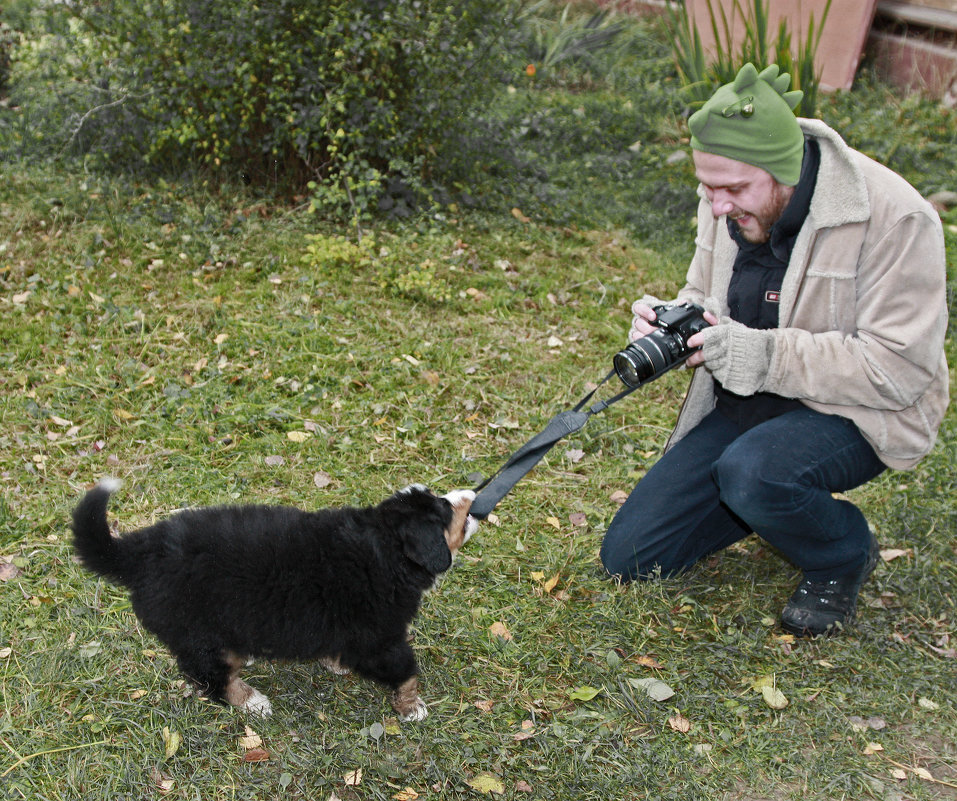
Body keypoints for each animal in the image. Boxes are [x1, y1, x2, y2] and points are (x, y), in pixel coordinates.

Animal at [72, 476, 478, 720]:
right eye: (445, 509)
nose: (472, 495)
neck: (385, 549)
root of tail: (139, 551)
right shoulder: (380, 639)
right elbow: (406, 670)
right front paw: (412, 707)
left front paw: (336, 663)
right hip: (195, 630)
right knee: (210, 676)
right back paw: (251, 701)